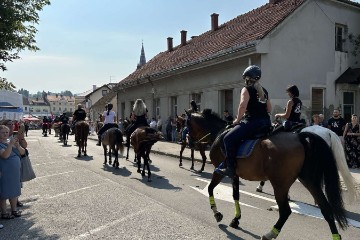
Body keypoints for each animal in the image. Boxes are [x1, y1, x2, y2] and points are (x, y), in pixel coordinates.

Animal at [186, 110, 360, 240]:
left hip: (280, 184)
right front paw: (236, 219)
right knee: (326, 209)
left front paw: (217, 214)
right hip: (308, 180)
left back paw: (271, 233)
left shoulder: (220, 171)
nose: (188, 142)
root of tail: (300, 136)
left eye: (187, 124)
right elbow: (236, 195)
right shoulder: (234, 174)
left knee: (286, 211)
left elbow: (210, 189)